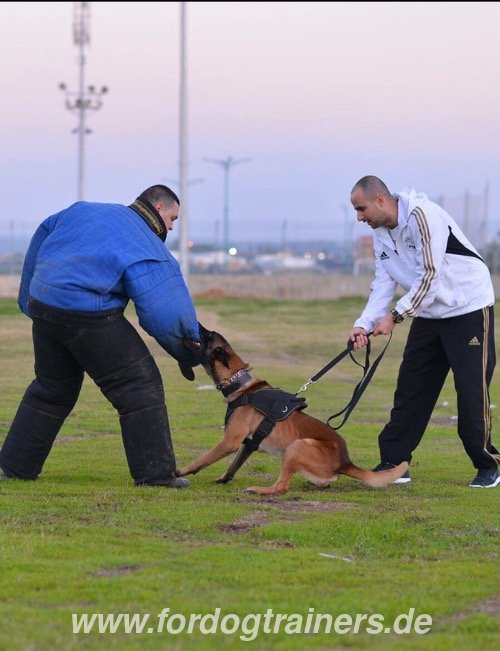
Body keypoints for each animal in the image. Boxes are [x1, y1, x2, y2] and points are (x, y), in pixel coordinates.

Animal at [178, 328, 408, 496]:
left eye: (207, 336)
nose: (193, 326)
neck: (240, 385)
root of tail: (345, 463)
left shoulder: (229, 441)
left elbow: (202, 459)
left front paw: (179, 472)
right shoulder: (248, 444)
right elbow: (233, 465)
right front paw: (224, 479)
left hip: (296, 446)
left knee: (281, 487)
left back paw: (258, 489)